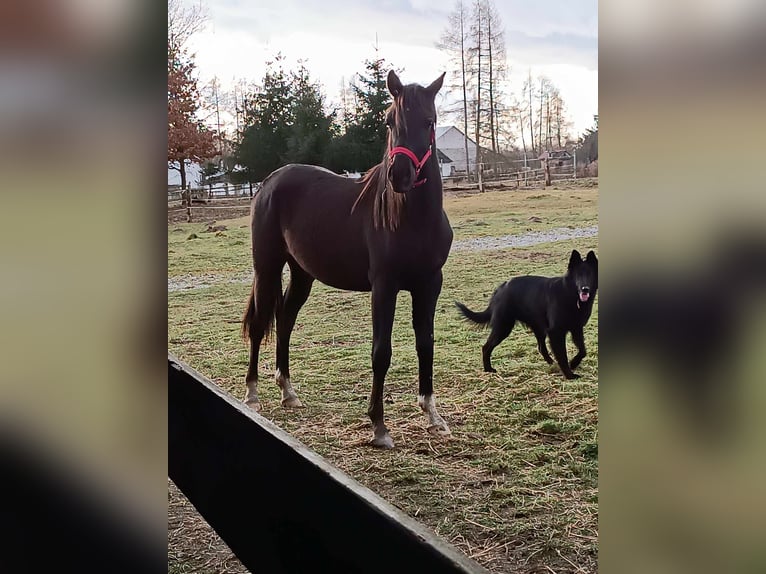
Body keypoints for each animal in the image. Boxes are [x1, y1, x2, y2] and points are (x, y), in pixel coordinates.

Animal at [243, 71, 452, 450]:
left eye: (429, 121)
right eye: (389, 121)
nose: (399, 176)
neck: (412, 221)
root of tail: (269, 181)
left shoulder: (429, 285)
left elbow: (425, 343)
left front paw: (433, 416)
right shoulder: (384, 287)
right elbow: (381, 352)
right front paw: (379, 427)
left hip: (302, 273)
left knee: (285, 319)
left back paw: (288, 392)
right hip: (266, 268)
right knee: (261, 322)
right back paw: (252, 394)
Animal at [456, 251, 600, 378]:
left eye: (590, 274)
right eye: (578, 275)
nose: (585, 289)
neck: (570, 295)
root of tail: (499, 289)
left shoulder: (576, 328)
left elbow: (582, 351)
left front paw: (573, 363)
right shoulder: (556, 332)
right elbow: (563, 356)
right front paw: (569, 375)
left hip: (537, 328)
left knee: (541, 348)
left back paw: (552, 363)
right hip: (503, 327)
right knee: (486, 347)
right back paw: (488, 369)